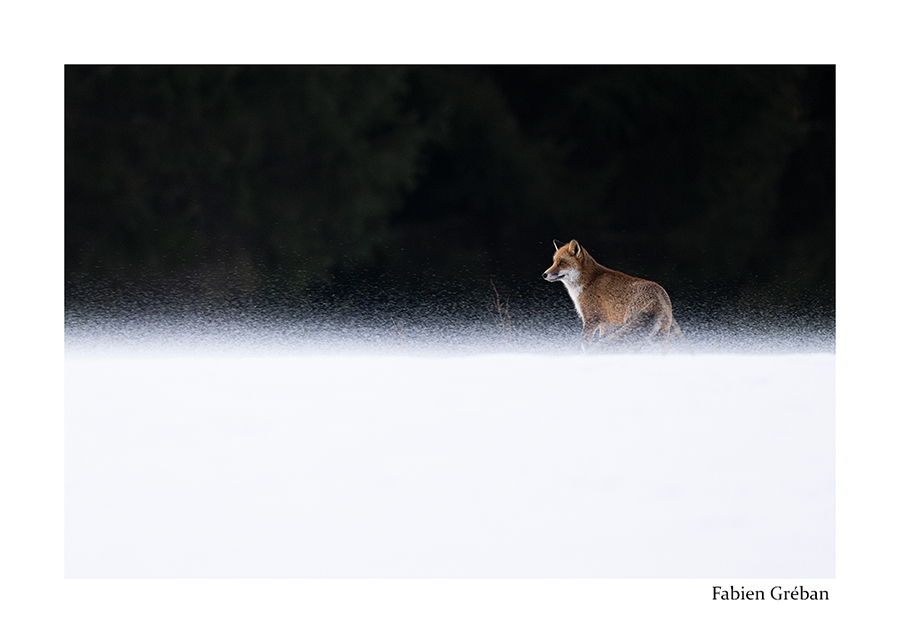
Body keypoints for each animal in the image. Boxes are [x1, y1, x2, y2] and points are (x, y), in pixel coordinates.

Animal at [542, 239, 688, 351]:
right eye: (554, 262)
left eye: (562, 263)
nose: (544, 275)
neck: (588, 281)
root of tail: (658, 296)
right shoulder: (607, 324)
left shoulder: (591, 318)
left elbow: (584, 345)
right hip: (660, 336)